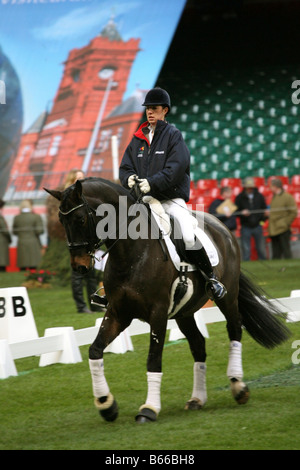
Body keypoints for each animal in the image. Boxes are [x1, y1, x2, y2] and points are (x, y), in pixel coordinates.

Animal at [45, 176, 290, 422]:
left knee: (234, 329)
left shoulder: (158, 313)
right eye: (60, 220)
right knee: (198, 344)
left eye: (80, 218)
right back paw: (197, 398)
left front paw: (149, 408)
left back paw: (238, 386)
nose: (79, 266)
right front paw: (107, 405)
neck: (131, 253)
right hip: (184, 312)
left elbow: (153, 359)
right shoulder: (118, 313)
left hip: (227, 298)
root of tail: (222, 227)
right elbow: (95, 350)